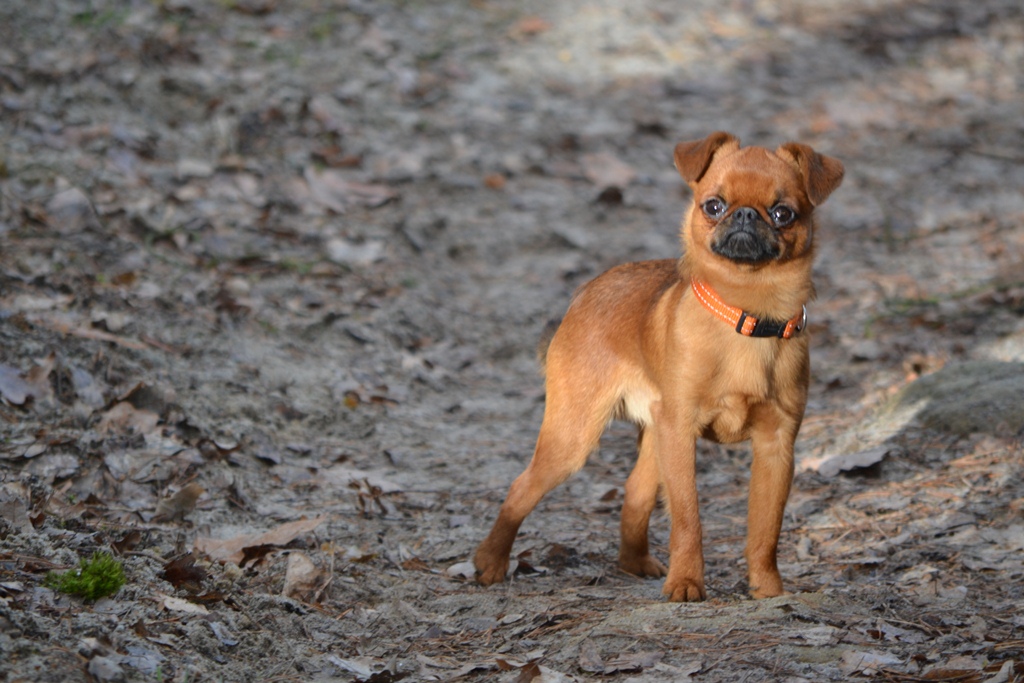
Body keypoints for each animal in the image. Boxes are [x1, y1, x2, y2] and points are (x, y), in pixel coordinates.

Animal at [475, 131, 843, 602]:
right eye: (713, 205)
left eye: (783, 213)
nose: (744, 215)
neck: (745, 313)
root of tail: (583, 293)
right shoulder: (681, 431)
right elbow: (688, 518)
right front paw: (686, 583)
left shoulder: (775, 446)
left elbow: (765, 528)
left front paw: (768, 588)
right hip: (575, 436)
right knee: (522, 487)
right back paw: (490, 562)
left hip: (654, 435)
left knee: (634, 491)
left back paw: (633, 563)